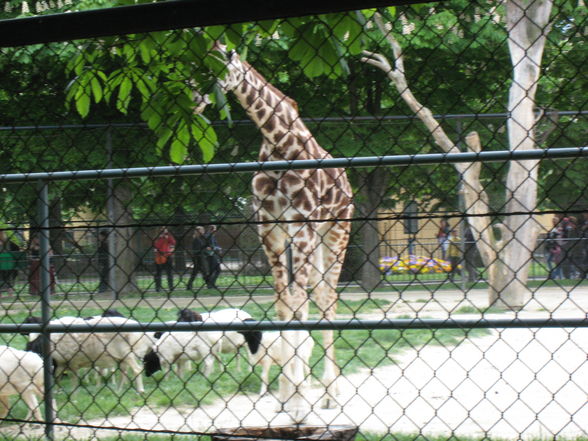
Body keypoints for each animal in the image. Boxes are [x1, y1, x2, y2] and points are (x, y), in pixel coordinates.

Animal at [196, 49, 354, 418]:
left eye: (218, 66)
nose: (194, 99)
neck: (279, 142)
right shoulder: (270, 229)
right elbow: (284, 305)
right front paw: (287, 393)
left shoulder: (301, 226)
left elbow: (296, 305)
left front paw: (298, 401)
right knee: (314, 299)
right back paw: (318, 388)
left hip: (336, 232)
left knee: (327, 300)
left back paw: (331, 393)